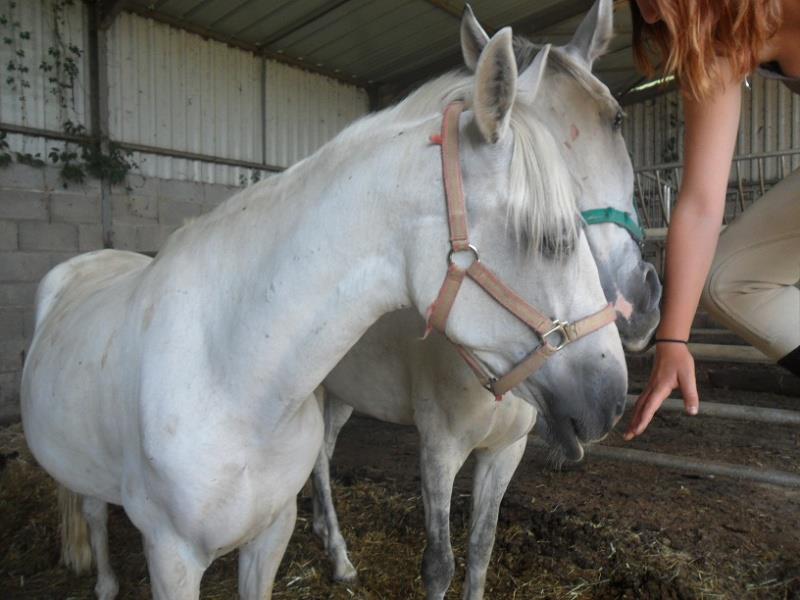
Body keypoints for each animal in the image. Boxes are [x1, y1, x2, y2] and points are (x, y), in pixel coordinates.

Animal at [20, 16, 624, 596]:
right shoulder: (172, 558)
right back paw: (106, 582)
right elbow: (442, 563)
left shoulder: (272, 534)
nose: (614, 398)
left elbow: (479, 554)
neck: (230, 371)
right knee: (92, 509)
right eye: (550, 238)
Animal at [306, 2, 656, 596]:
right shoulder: (439, 449)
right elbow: (440, 563)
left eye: (616, 118)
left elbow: (481, 550)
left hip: (343, 393)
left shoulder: (504, 452)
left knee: (324, 454)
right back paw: (340, 558)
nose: (635, 300)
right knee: (320, 464)